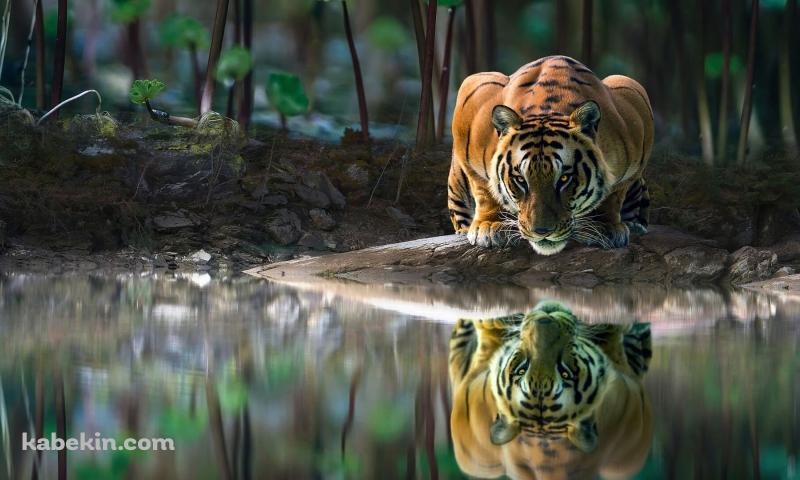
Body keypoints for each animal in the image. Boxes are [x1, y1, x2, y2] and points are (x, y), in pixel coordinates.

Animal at [447, 55, 654, 255]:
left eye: (564, 178)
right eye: (520, 180)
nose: (542, 232)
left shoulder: (635, 104)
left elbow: (614, 194)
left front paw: (603, 226)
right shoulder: (473, 95)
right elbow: (484, 188)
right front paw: (490, 225)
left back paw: (635, 226)